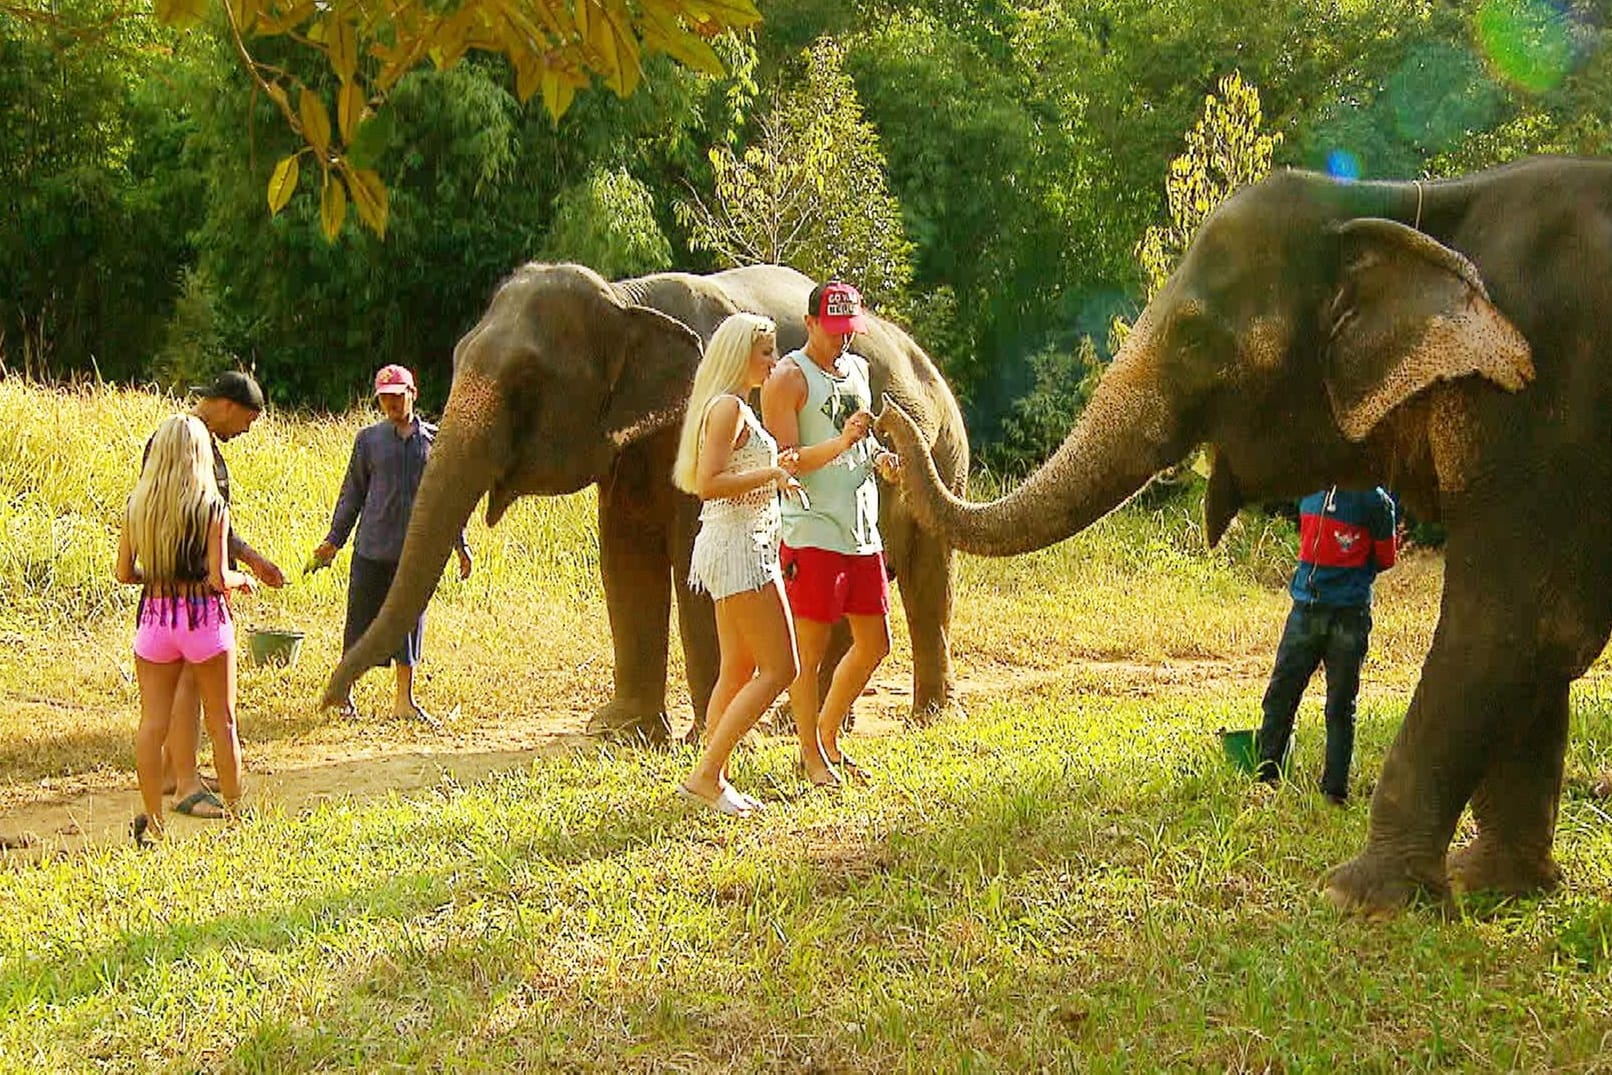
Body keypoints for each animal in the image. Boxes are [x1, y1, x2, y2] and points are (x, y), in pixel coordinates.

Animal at [319, 262, 960, 747]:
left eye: (527, 382)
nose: (332, 701)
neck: (626, 301)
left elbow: (693, 556)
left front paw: (703, 735)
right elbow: (623, 553)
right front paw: (619, 731)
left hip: (943, 451)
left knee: (927, 581)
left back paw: (924, 718)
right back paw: (804, 722)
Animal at [883, 157, 1612, 915]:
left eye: (1193, 334)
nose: (887, 424)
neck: (1408, 204)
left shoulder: (1548, 397)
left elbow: (1520, 620)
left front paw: (1355, 897)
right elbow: (1543, 643)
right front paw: (1493, 882)